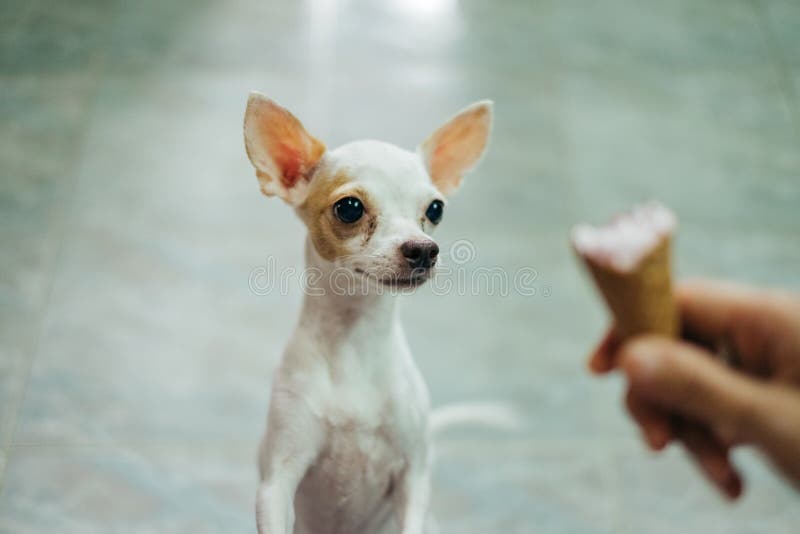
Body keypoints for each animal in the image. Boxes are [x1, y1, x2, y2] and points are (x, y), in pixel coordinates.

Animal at [244, 93, 494, 534]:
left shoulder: (413, 479)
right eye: (349, 208)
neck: (353, 340)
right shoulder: (277, 482)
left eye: (435, 208)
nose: (424, 249)